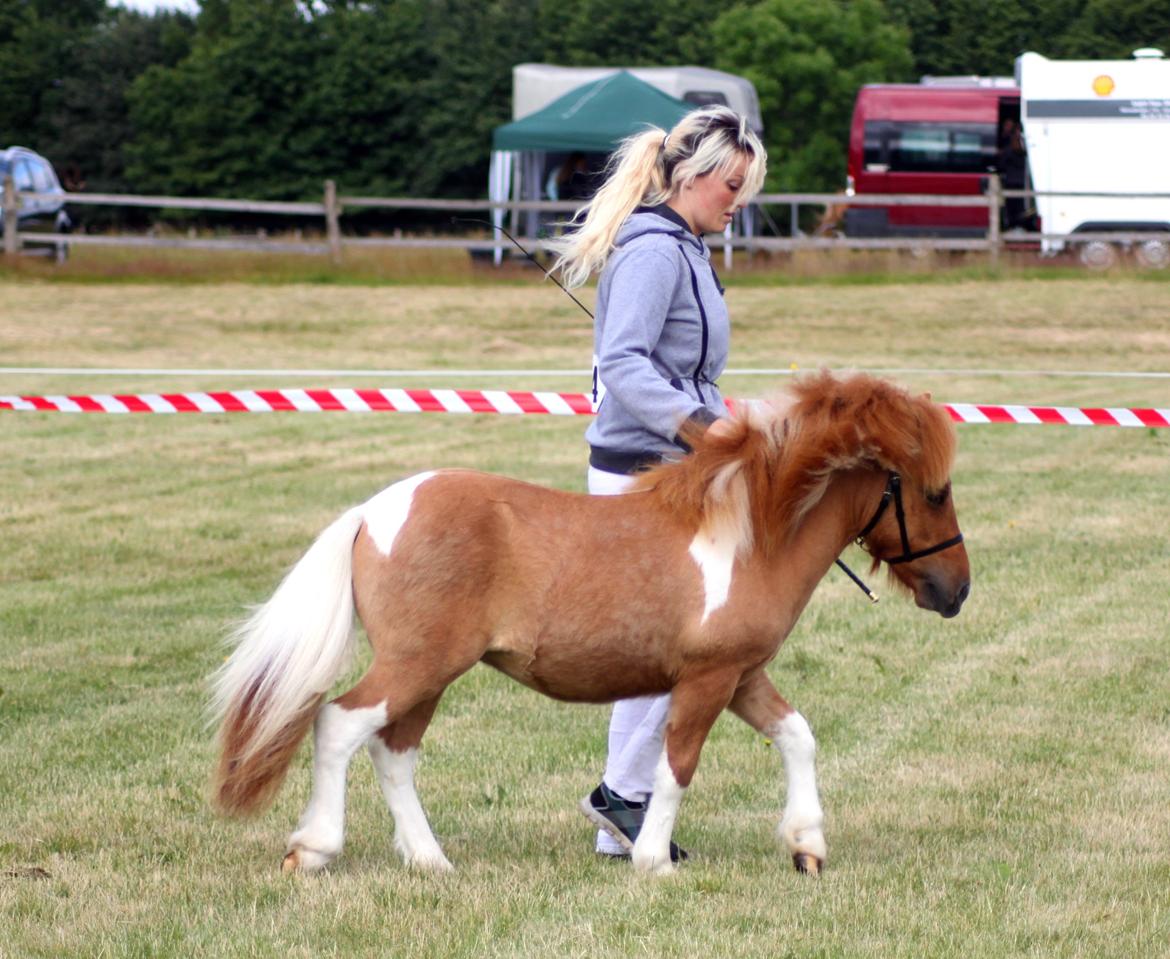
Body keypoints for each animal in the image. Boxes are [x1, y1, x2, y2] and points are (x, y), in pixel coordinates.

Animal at [210, 371, 968, 874]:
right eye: (935, 492)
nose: (956, 589)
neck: (748, 535)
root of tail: (373, 512)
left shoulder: (742, 675)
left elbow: (797, 737)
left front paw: (807, 845)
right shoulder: (707, 679)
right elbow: (676, 765)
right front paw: (654, 861)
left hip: (429, 674)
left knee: (394, 753)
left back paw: (430, 862)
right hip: (416, 665)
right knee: (339, 726)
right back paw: (314, 850)